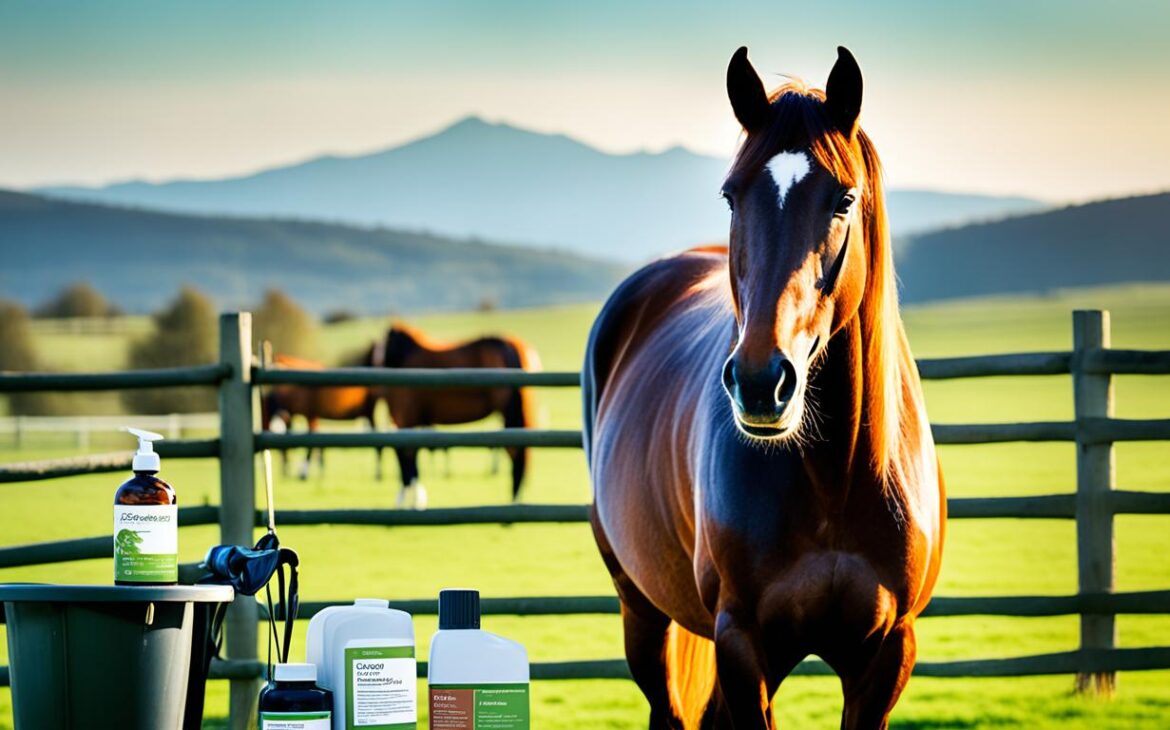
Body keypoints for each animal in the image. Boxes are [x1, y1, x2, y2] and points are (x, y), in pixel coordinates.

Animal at [580, 48, 945, 725]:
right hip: (642, 613)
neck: (836, 477)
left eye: (843, 198)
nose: (758, 382)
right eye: (731, 196)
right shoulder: (743, 645)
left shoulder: (886, 654)